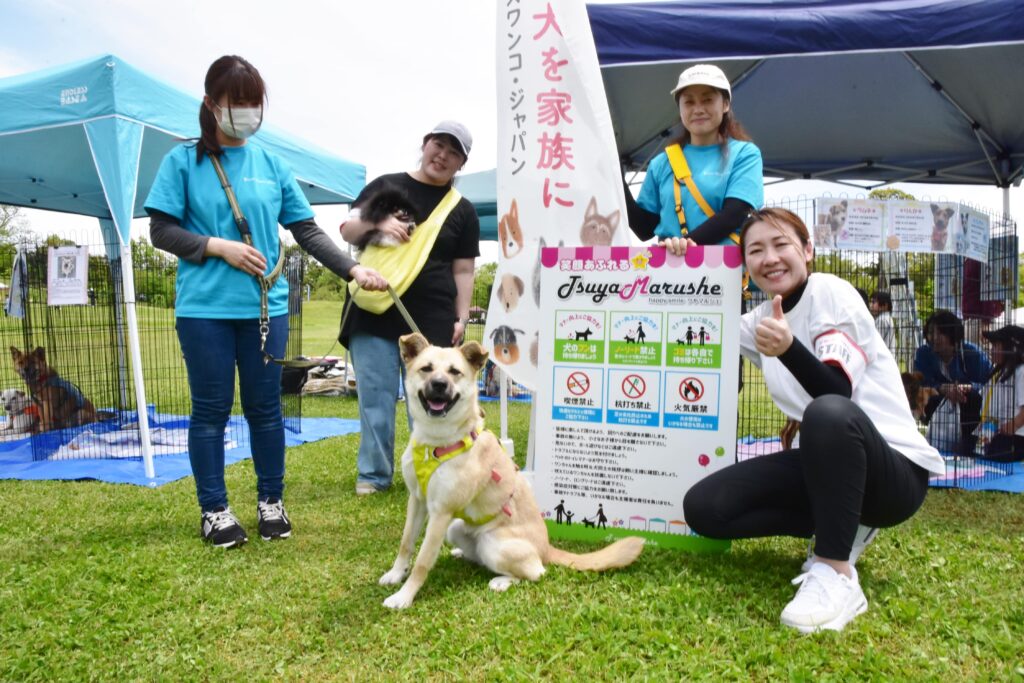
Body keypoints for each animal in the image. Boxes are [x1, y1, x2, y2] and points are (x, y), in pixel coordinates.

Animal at [380, 333, 643, 606]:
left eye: (454, 372)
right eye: (426, 369)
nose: (440, 384)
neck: (436, 442)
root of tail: (546, 548)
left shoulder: (441, 513)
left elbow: (422, 562)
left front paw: (404, 596)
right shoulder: (417, 500)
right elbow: (406, 543)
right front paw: (396, 573)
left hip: (493, 543)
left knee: (536, 571)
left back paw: (502, 581)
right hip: (456, 529)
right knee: (480, 557)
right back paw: (462, 553)